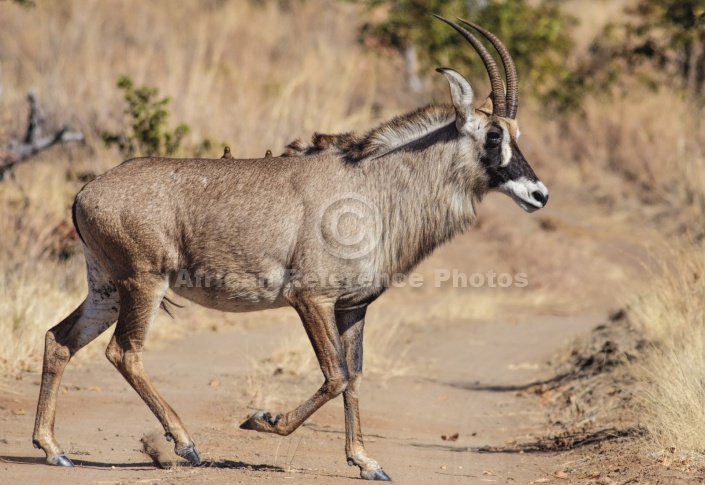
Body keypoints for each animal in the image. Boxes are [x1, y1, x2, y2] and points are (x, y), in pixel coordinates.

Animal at [33, 16, 548, 480]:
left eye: (516, 133)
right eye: (494, 135)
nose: (538, 194)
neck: (373, 185)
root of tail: (86, 192)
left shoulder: (352, 307)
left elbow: (354, 375)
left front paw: (366, 462)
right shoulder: (311, 299)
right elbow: (335, 374)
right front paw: (262, 419)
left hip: (106, 288)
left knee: (60, 340)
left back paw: (54, 449)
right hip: (144, 282)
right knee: (124, 352)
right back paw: (184, 443)